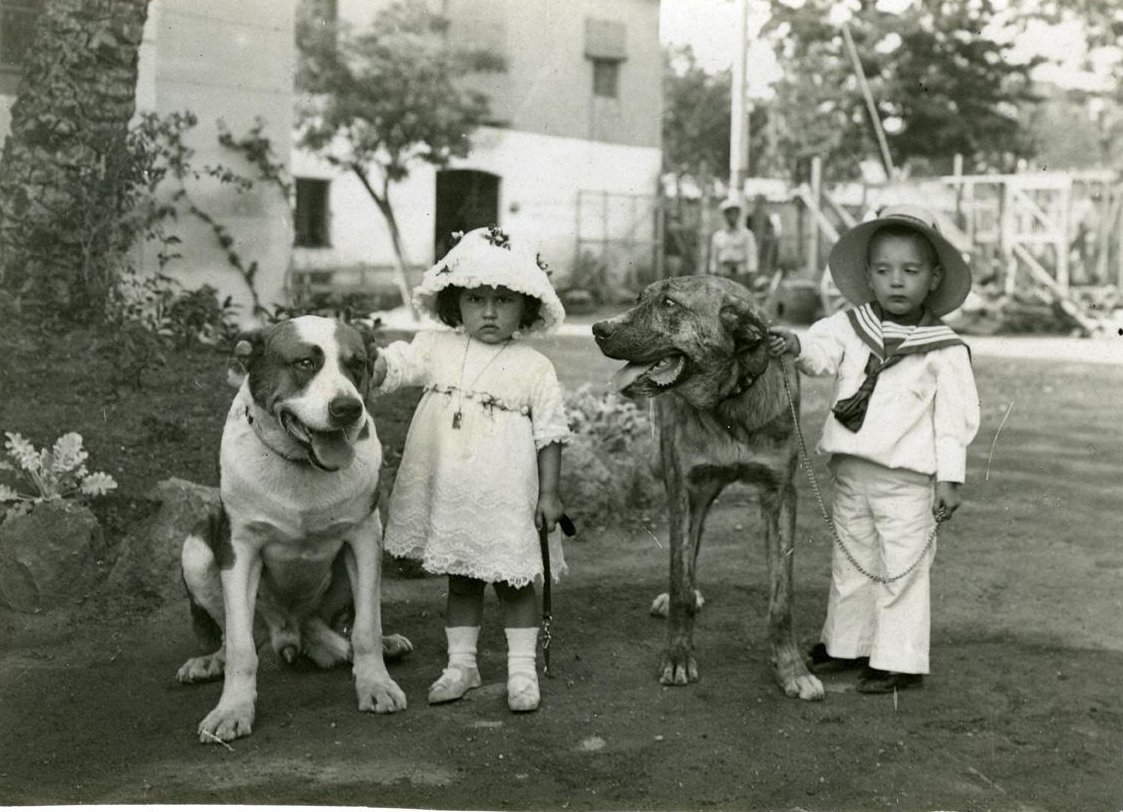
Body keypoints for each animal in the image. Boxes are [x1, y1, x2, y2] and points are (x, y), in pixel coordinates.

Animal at [179, 316, 413, 741]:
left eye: (357, 364)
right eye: (305, 363)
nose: (347, 408)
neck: (301, 465)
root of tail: (287, 633)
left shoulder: (364, 538)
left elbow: (367, 627)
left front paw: (375, 682)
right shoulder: (239, 549)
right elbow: (240, 646)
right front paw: (232, 709)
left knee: (331, 625)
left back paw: (361, 645)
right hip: (197, 549)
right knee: (231, 634)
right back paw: (209, 661)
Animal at [597, 276, 826, 700]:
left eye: (669, 303)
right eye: (639, 298)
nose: (598, 328)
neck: (730, 401)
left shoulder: (780, 494)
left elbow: (782, 598)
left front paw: (791, 668)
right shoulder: (684, 489)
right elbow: (680, 578)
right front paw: (677, 656)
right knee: (687, 559)